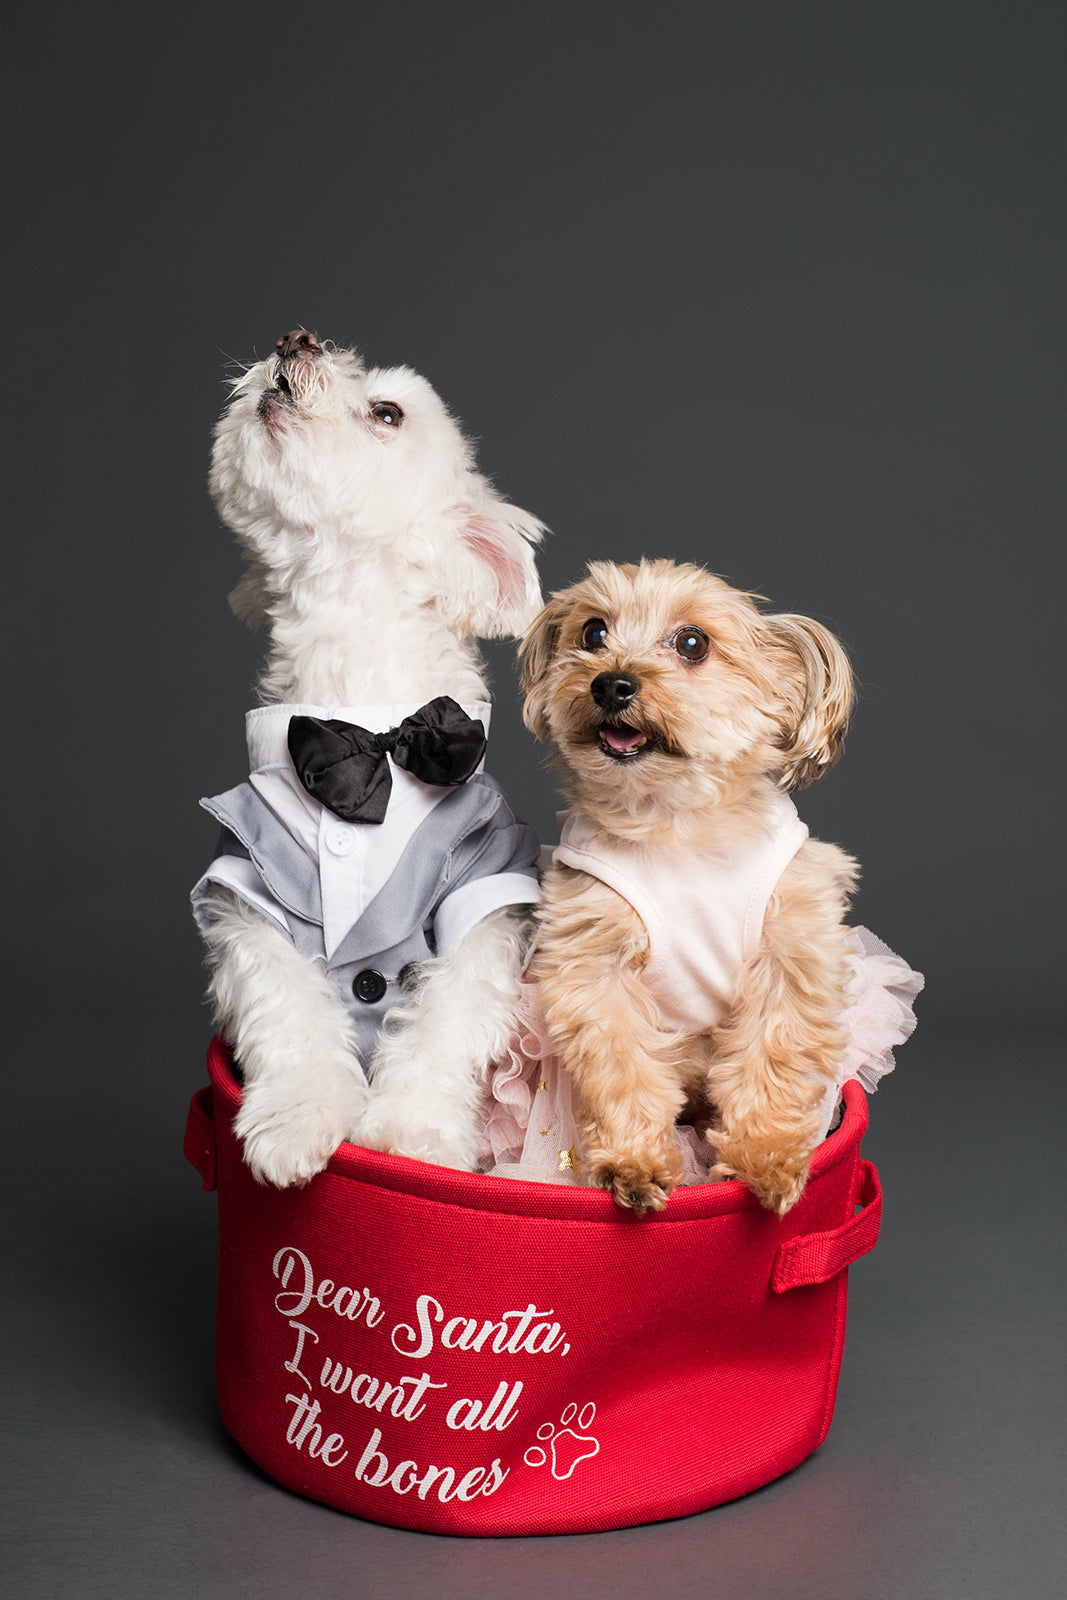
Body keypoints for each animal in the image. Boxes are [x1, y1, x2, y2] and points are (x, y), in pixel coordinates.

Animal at [191, 331, 547, 1190]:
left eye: (387, 412)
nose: (295, 338)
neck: (362, 718)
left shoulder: (486, 903)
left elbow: (443, 1024)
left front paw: (408, 1136)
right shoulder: (241, 894)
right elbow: (283, 1005)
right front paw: (299, 1118)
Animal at [524, 563, 857, 1209]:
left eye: (693, 643)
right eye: (593, 632)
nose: (611, 684)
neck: (674, 820)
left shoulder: (790, 952)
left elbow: (772, 1053)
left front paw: (766, 1156)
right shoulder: (595, 963)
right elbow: (619, 1063)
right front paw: (633, 1161)